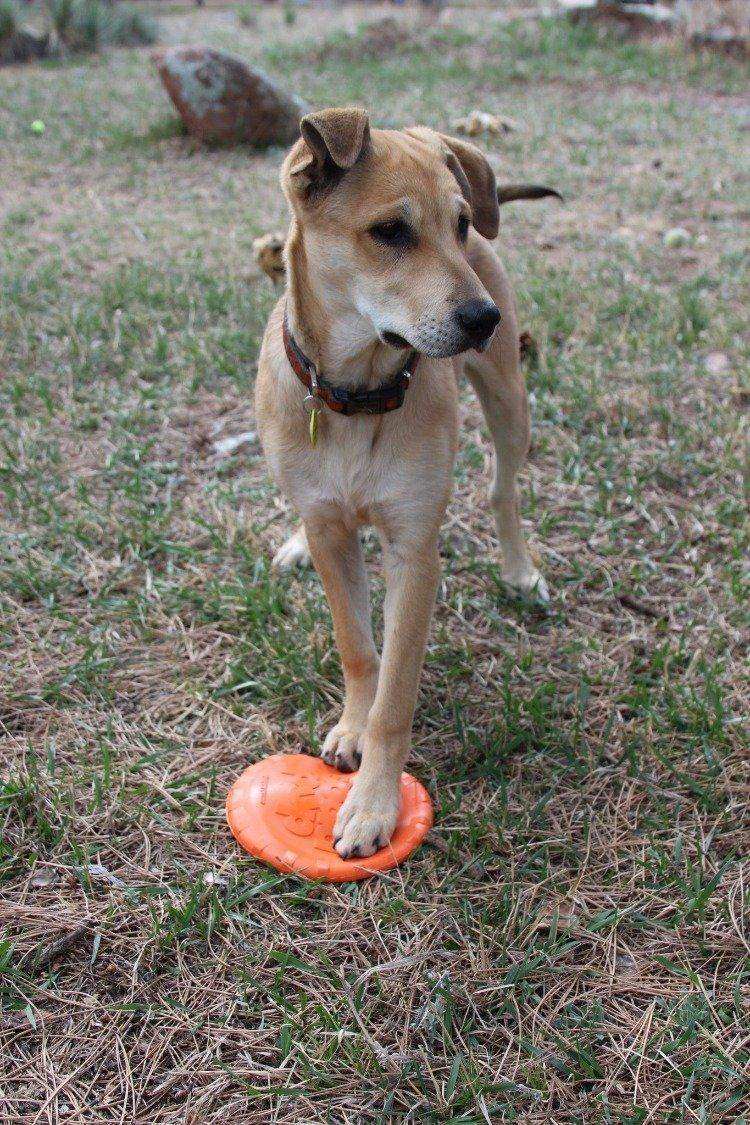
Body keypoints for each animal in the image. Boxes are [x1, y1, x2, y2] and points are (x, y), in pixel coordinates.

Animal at [255, 105, 555, 859]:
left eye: (459, 224)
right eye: (390, 230)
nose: (483, 318)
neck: (356, 398)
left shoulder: (414, 553)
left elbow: (396, 691)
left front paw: (373, 803)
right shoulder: (334, 533)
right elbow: (358, 649)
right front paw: (350, 727)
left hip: (508, 399)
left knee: (504, 489)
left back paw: (519, 570)